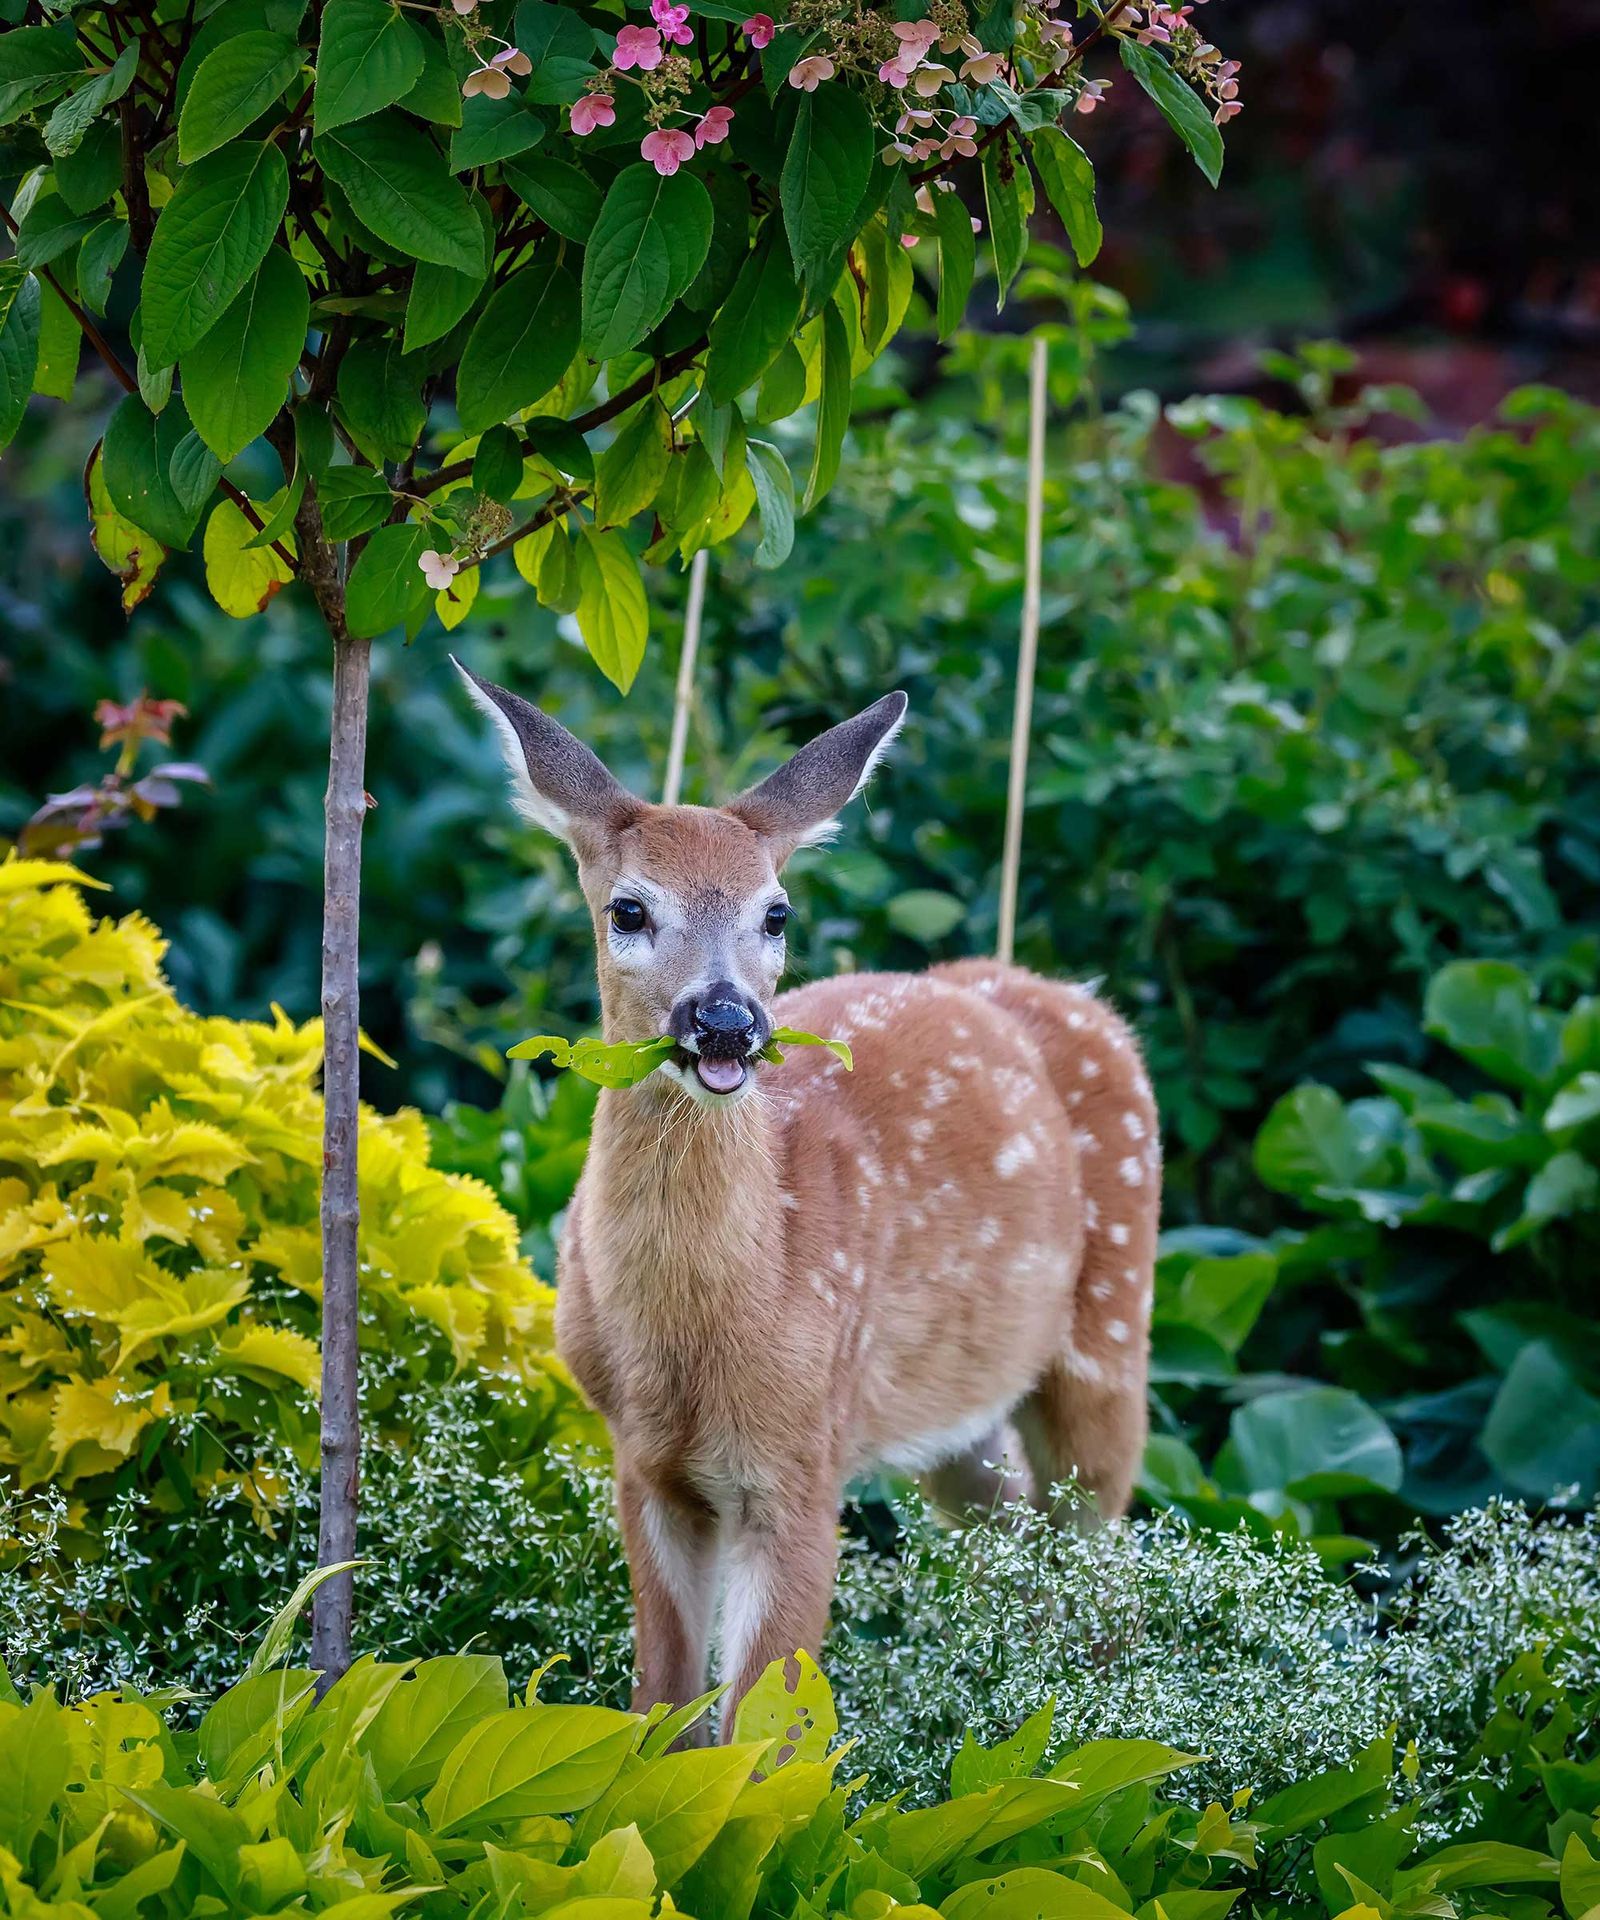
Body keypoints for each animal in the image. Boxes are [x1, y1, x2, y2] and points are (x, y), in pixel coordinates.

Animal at [457, 664, 1158, 1730]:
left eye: (776, 913)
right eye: (629, 910)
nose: (725, 1021)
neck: (708, 1323)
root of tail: (1085, 1000)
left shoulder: (802, 1459)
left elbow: (766, 1730)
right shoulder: (641, 1461)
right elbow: (662, 1706)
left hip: (1111, 1336)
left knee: (1101, 1558)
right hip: (956, 1414)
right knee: (1013, 1545)